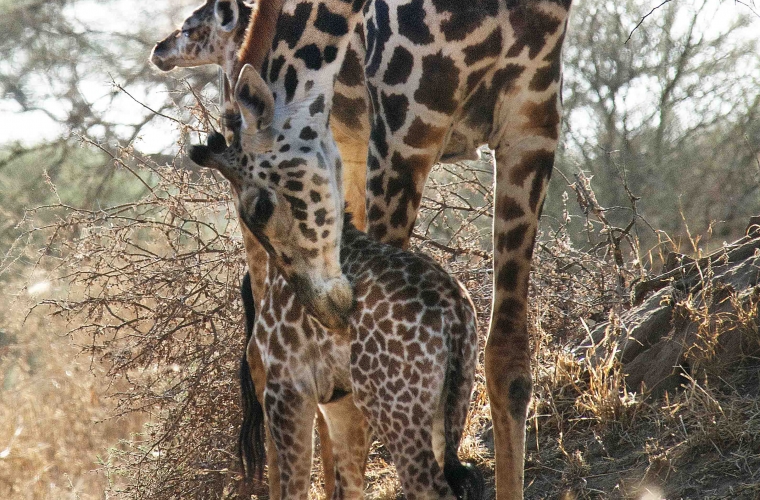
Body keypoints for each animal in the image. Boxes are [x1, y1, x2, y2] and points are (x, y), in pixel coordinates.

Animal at [189, 131, 480, 498]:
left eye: (257, 209)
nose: (329, 310)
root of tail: (453, 313)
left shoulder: (287, 389)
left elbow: (294, 485)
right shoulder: (338, 402)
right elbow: (350, 485)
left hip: (394, 410)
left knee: (429, 485)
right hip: (453, 398)